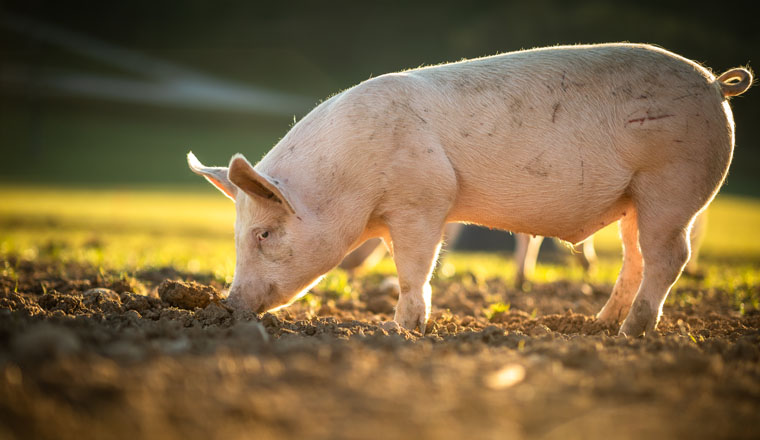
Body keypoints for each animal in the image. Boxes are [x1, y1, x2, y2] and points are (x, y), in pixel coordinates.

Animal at [189, 43, 748, 336]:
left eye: (263, 234)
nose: (230, 305)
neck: (348, 179)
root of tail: (715, 85)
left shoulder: (423, 199)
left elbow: (413, 269)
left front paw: (399, 330)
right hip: (635, 200)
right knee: (635, 259)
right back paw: (598, 324)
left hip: (673, 186)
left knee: (670, 256)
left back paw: (633, 332)